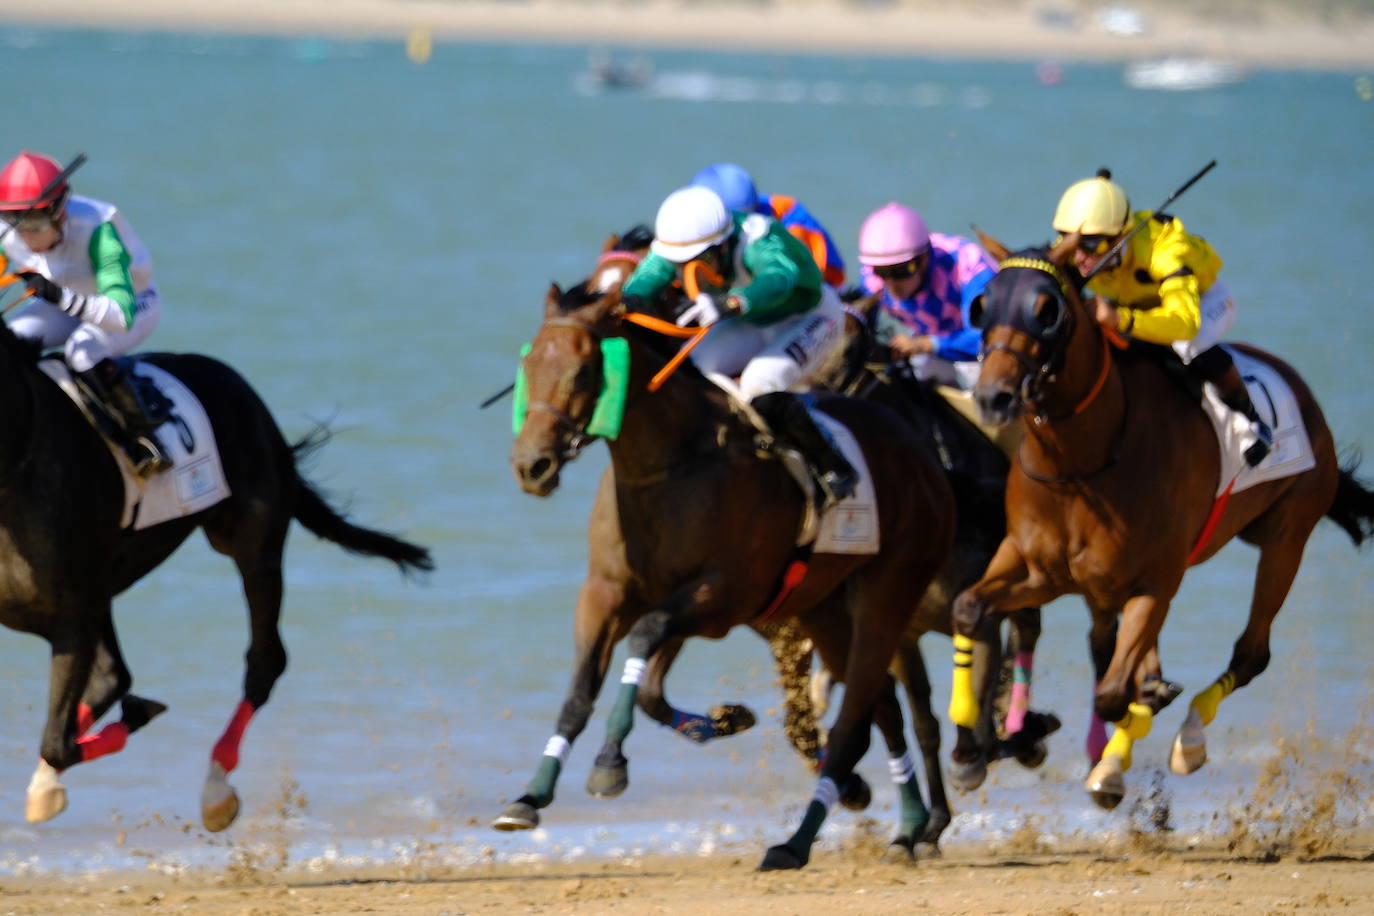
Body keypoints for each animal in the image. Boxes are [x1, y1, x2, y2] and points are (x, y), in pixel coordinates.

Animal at [0, 322, 434, 829]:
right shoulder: (78, 609)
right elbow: (69, 726)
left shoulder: (75, 616)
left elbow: (59, 739)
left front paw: (137, 717)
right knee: (112, 677)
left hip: (252, 545)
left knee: (264, 661)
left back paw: (216, 787)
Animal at [497, 282, 956, 873]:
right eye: (529, 365)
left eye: (582, 371)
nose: (532, 466)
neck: (670, 464)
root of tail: (921, 454)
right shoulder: (611, 594)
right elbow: (601, 690)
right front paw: (530, 797)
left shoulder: (722, 594)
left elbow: (643, 641)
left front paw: (609, 765)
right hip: (824, 606)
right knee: (885, 709)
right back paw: (906, 826)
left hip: (891, 589)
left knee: (857, 715)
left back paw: (796, 843)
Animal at [945, 236, 1374, 807]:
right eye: (982, 306)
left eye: (1046, 310)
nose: (993, 398)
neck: (1082, 464)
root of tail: (1302, 392)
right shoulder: (1035, 566)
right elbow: (969, 608)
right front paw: (968, 754)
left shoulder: (1153, 581)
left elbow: (1113, 693)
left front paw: (1111, 765)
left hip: (1286, 538)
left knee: (1250, 654)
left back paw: (1186, 738)